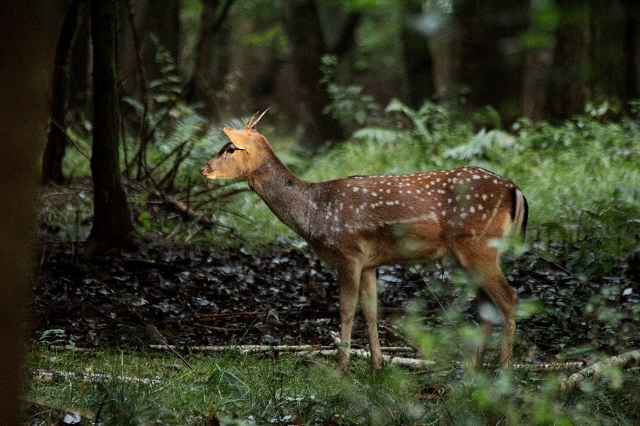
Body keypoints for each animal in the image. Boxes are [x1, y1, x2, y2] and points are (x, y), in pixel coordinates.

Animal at [202, 110, 528, 372]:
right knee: (487, 305)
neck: (313, 211)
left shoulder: (348, 253)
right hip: (468, 256)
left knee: (509, 298)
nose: (204, 168)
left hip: (479, 247)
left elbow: (346, 310)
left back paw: (504, 369)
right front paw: (377, 366)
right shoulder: (370, 261)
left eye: (230, 148)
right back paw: (473, 368)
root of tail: (516, 190)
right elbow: (371, 311)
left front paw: (342, 368)